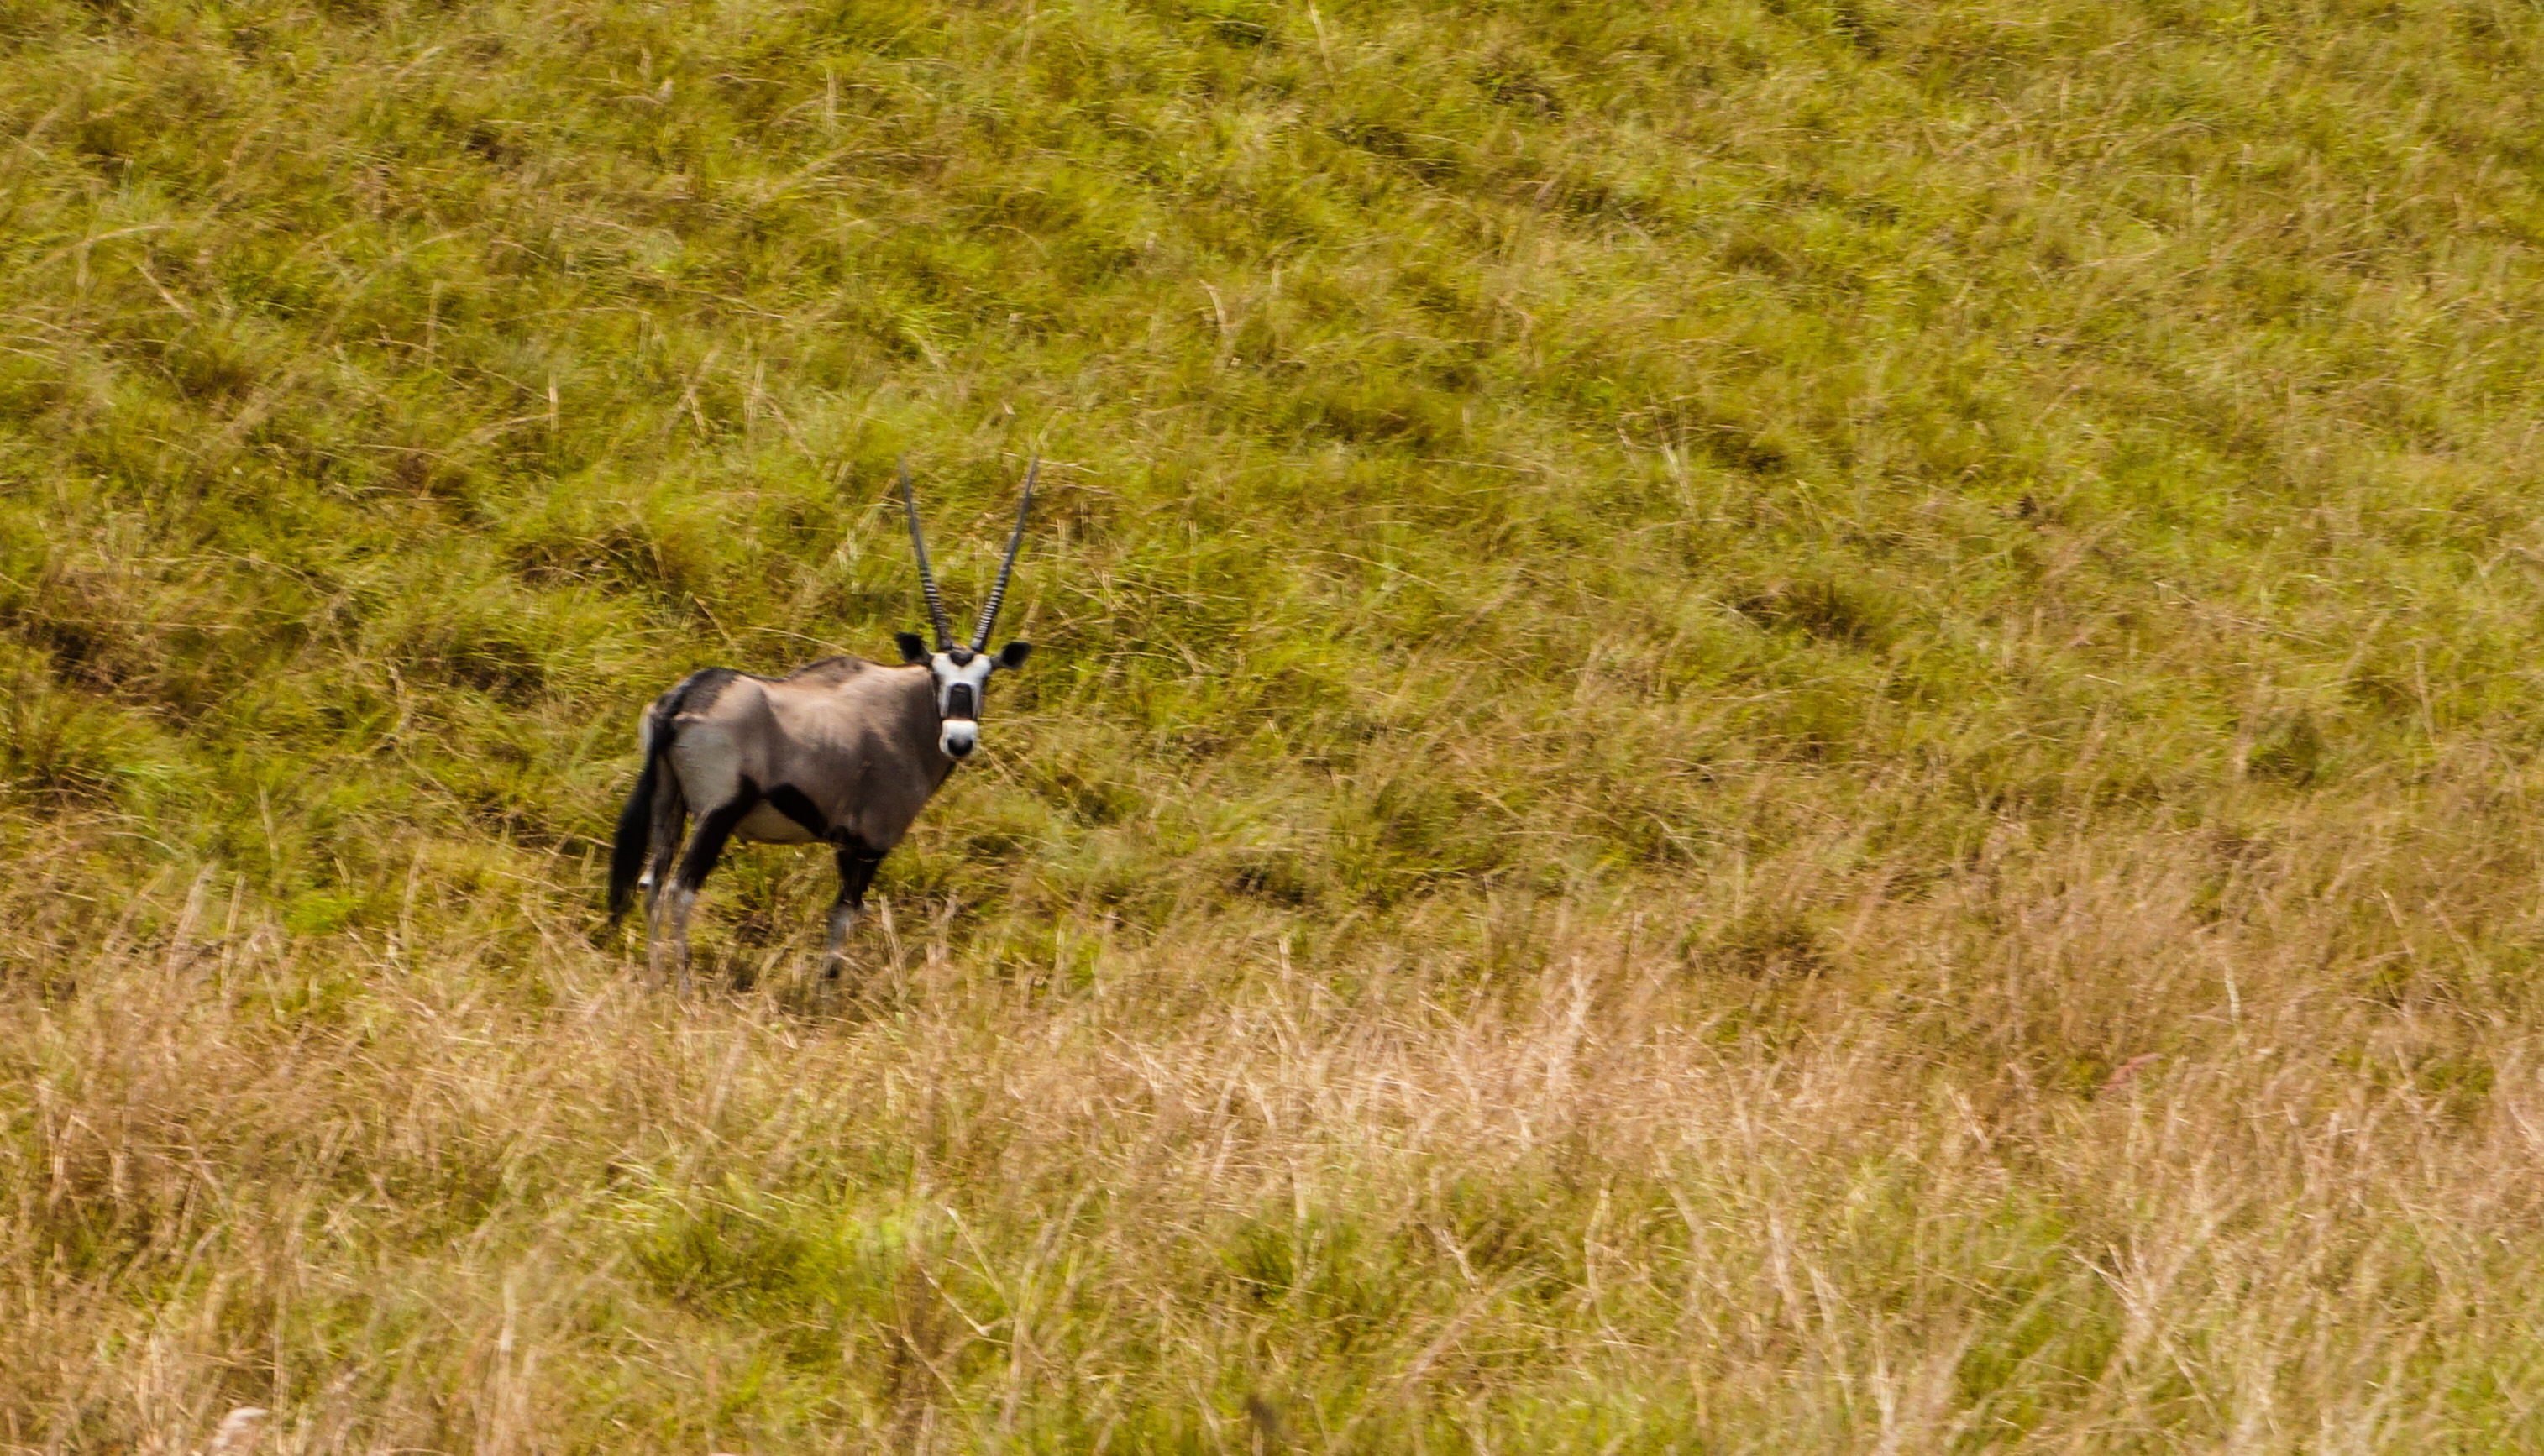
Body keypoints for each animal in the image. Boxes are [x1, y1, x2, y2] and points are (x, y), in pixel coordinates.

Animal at [607, 460, 1036, 992]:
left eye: (985, 677)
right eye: (937, 674)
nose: (959, 740)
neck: (903, 713)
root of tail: (684, 698)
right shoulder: (867, 844)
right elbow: (844, 919)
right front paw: (826, 994)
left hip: (669, 802)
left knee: (652, 883)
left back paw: (654, 981)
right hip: (716, 814)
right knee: (680, 891)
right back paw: (684, 986)